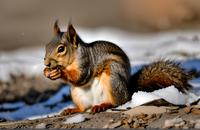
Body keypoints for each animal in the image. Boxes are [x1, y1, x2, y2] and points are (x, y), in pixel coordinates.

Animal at [43, 20, 197, 115]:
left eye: (61, 49)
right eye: (46, 46)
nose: (46, 63)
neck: (74, 57)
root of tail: (128, 92)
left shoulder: (85, 63)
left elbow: (80, 77)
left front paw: (59, 72)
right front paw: (47, 72)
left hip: (113, 78)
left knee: (117, 102)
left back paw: (103, 105)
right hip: (76, 94)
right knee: (83, 108)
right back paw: (73, 110)